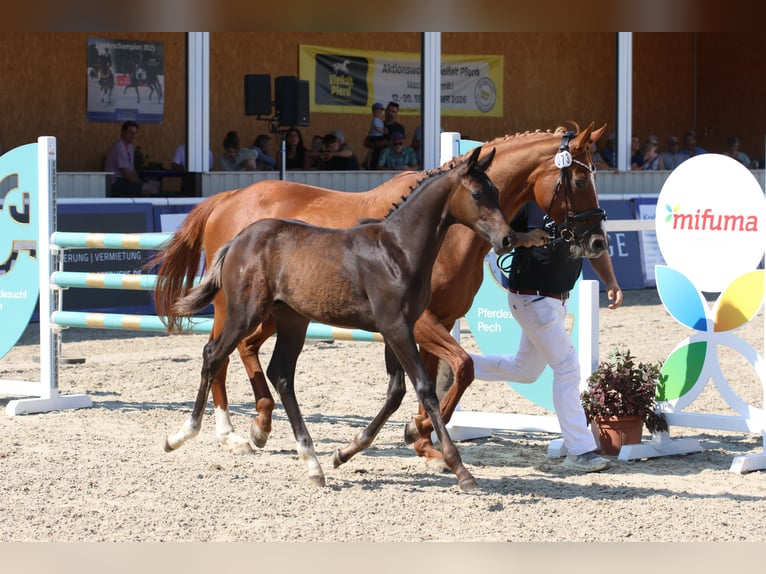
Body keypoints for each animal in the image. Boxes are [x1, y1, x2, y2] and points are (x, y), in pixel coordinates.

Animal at [152, 122, 607, 464]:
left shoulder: (434, 321)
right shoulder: (418, 322)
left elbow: (439, 377)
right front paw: (420, 433)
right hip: (236, 307)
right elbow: (461, 368)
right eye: (579, 178)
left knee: (245, 349)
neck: (447, 230)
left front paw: (422, 436)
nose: (597, 240)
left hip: (279, 312)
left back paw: (260, 425)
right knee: (220, 353)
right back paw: (226, 430)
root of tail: (229, 198)